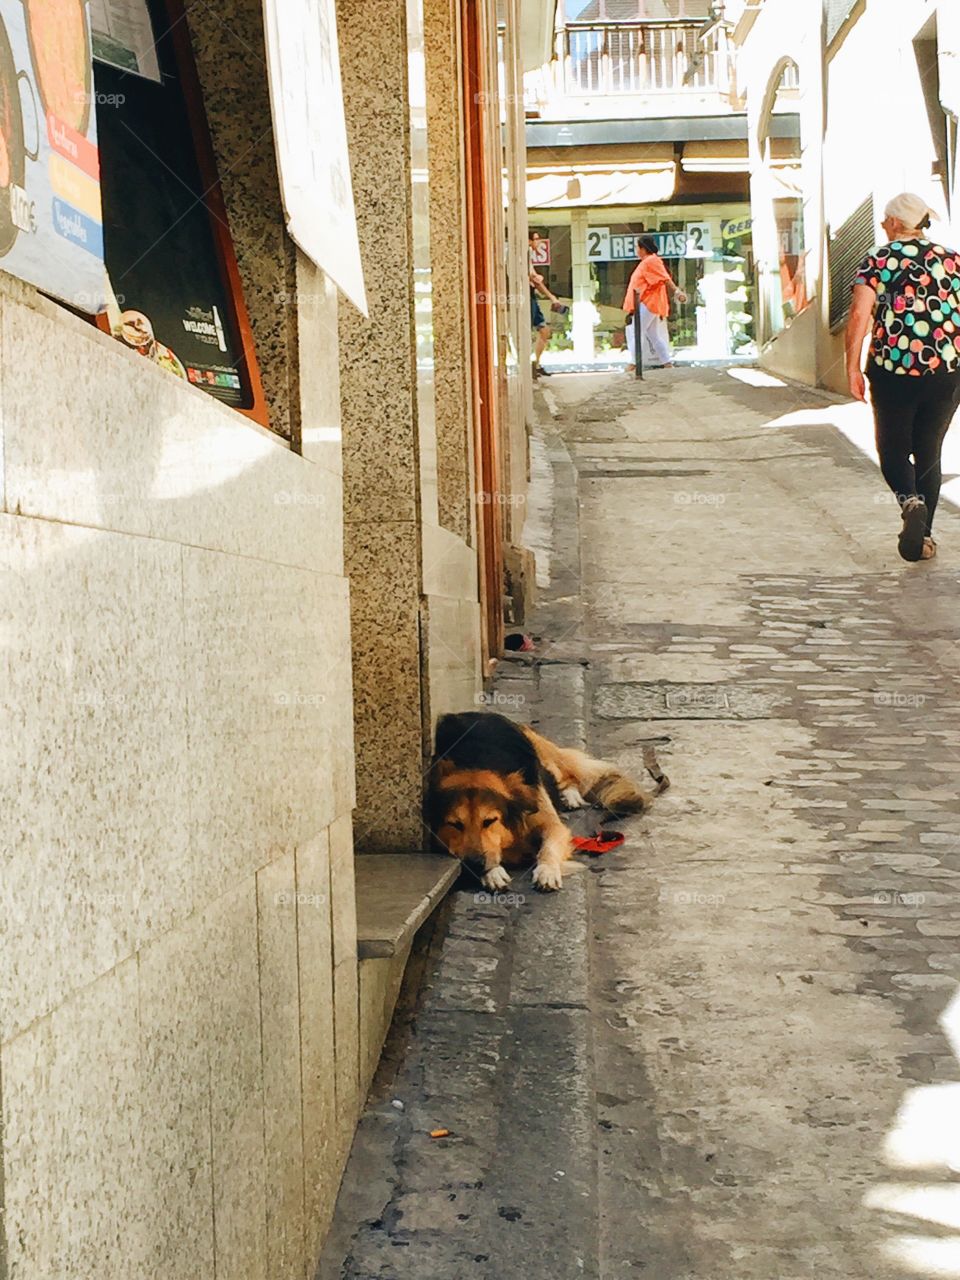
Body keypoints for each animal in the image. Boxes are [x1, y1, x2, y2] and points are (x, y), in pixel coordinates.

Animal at [427, 711, 670, 890]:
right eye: (455, 824)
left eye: (489, 821)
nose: (474, 864)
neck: (476, 763)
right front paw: (493, 873)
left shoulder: (553, 824)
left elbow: (549, 848)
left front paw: (547, 871)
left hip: (545, 754)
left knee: (568, 775)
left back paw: (570, 796)